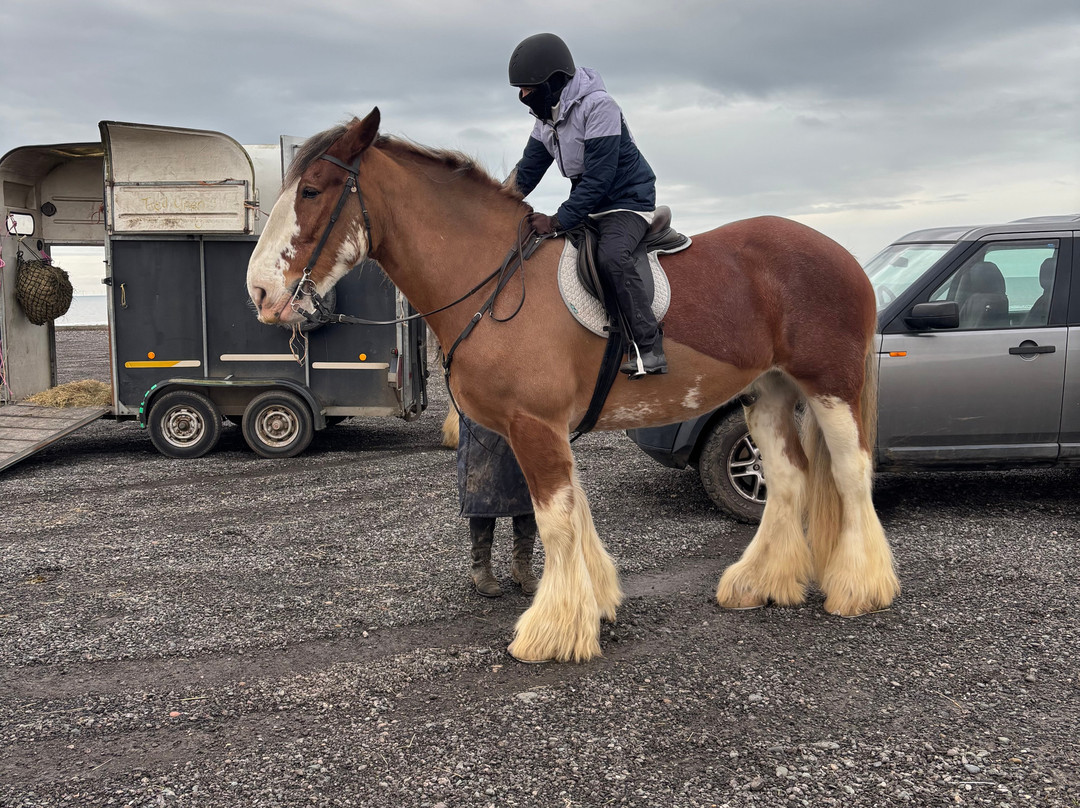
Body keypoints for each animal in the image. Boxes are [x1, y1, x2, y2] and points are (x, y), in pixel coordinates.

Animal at [246, 108, 899, 663]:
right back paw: (762, 582)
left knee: (850, 472)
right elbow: (574, 513)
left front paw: (552, 631)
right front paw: (596, 604)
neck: (495, 277)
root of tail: (843, 257)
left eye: (311, 191)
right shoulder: (547, 428)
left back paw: (860, 586)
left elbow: (555, 519)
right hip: (767, 393)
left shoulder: (534, 425)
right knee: (788, 478)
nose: (259, 292)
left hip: (830, 388)